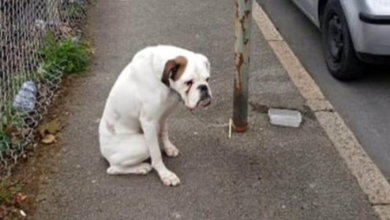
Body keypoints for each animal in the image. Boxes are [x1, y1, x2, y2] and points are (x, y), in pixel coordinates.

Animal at [99, 45, 212, 186]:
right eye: (189, 82)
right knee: (113, 168)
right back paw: (141, 167)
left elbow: (164, 132)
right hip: (141, 145)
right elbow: (156, 154)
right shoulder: (148, 122)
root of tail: (103, 150)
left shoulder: (163, 115)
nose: (204, 87)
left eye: (207, 79)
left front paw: (168, 148)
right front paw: (165, 174)